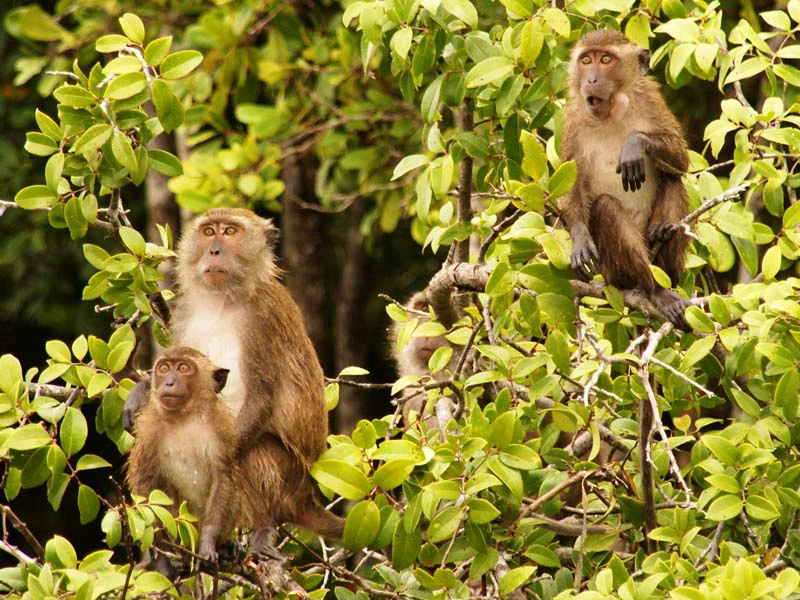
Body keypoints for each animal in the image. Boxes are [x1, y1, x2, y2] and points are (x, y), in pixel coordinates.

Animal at [123, 208, 343, 555]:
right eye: (208, 231)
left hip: (291, 478)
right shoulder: (185, 309)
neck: (222, 300)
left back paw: (263, 529)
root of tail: (306, 498)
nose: (214, 250)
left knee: (252, 454)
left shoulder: (264, 318)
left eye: (229, 232)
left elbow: (261, 399)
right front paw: (141, 392)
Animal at [559, 29, 691, 331]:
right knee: (606, 207)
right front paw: (580, 239)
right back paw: (654, 289)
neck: (612, 112)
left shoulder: (650, 98)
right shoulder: (572, 119)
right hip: (610, 274)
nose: (591, 79)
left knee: (672, 179)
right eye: (587, 60)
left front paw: (635, 144)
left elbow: (681, 161)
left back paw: (664, 248)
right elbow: (572, 184)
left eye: (606, 59)